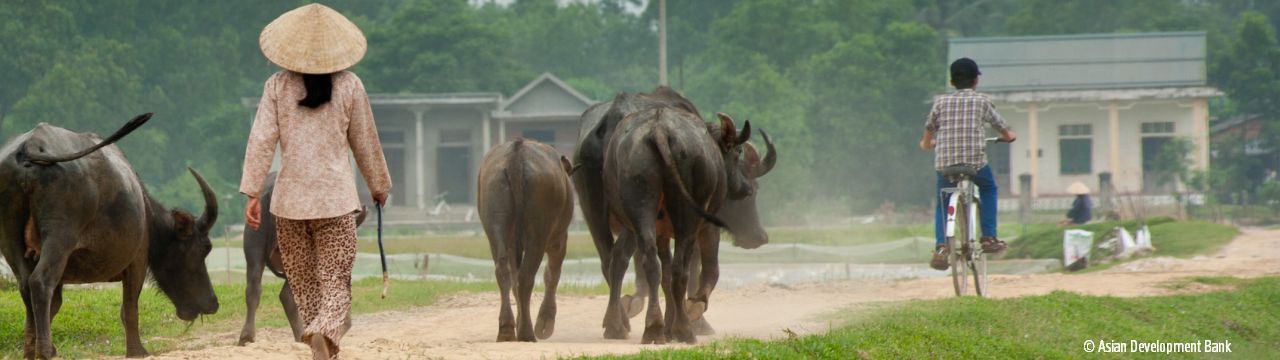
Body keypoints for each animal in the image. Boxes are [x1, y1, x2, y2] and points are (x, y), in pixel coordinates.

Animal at [0, 113, 220, 356]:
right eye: (203, 249)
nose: (212, 303)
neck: (145, 212)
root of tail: (32, 145)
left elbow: (54, 306)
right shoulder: (137, 261)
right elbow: (129, 309)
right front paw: (137, 351)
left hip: (10, 240)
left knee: (26, 285)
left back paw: (31, 352)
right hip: (59, 238)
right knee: (40, 283)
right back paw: (46, 352)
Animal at [478, 139, 573, 340]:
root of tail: (517, 152)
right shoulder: (560, 239)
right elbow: (552, 274)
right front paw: (545, 324)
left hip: (495, 209)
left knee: (504, 270)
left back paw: (507, 329)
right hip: (540, 226)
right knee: (526, 275)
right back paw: (527, 332)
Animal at [604, 105, 752, 340]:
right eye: (738, 152)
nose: (746, 188)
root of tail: (659, 129)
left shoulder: (661, 232)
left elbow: (664, 275)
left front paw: (667, 325)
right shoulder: (706, 226)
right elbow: (706, 269)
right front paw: (687, 313)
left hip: (640, 204)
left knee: (646, 263)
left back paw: (645, 326)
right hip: (688, 219)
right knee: (680, 270)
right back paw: (683, 329)